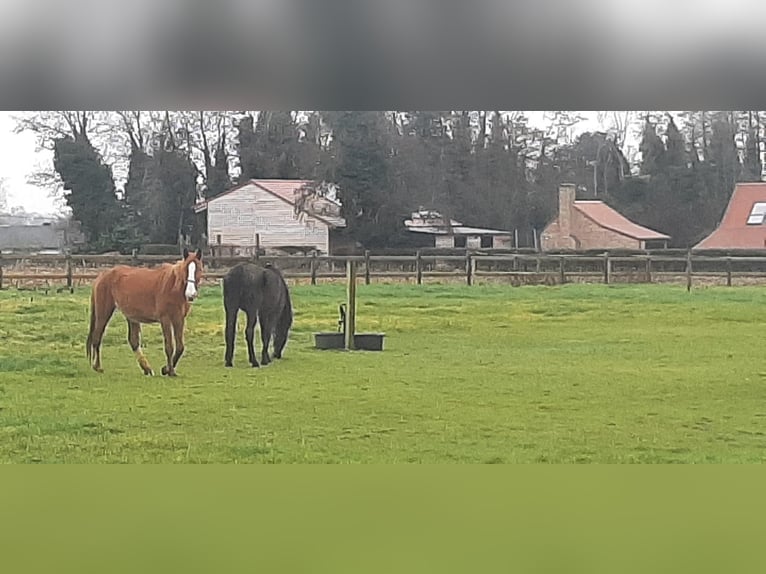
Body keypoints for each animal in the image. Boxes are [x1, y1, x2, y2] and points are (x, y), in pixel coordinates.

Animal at [86, 249, 204, 378]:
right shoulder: (165, 319)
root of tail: (102, 275)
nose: (191, 294)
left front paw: (166, 369)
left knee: (133, 342)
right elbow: (169, 347)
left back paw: (147, 369)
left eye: (198, 268)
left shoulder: (179, 319)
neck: (173, 286)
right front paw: (170, 371)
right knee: (97, 336)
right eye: (185, 269)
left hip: (131, 317)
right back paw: (97, 367)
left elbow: (180, 347)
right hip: (104, 312)